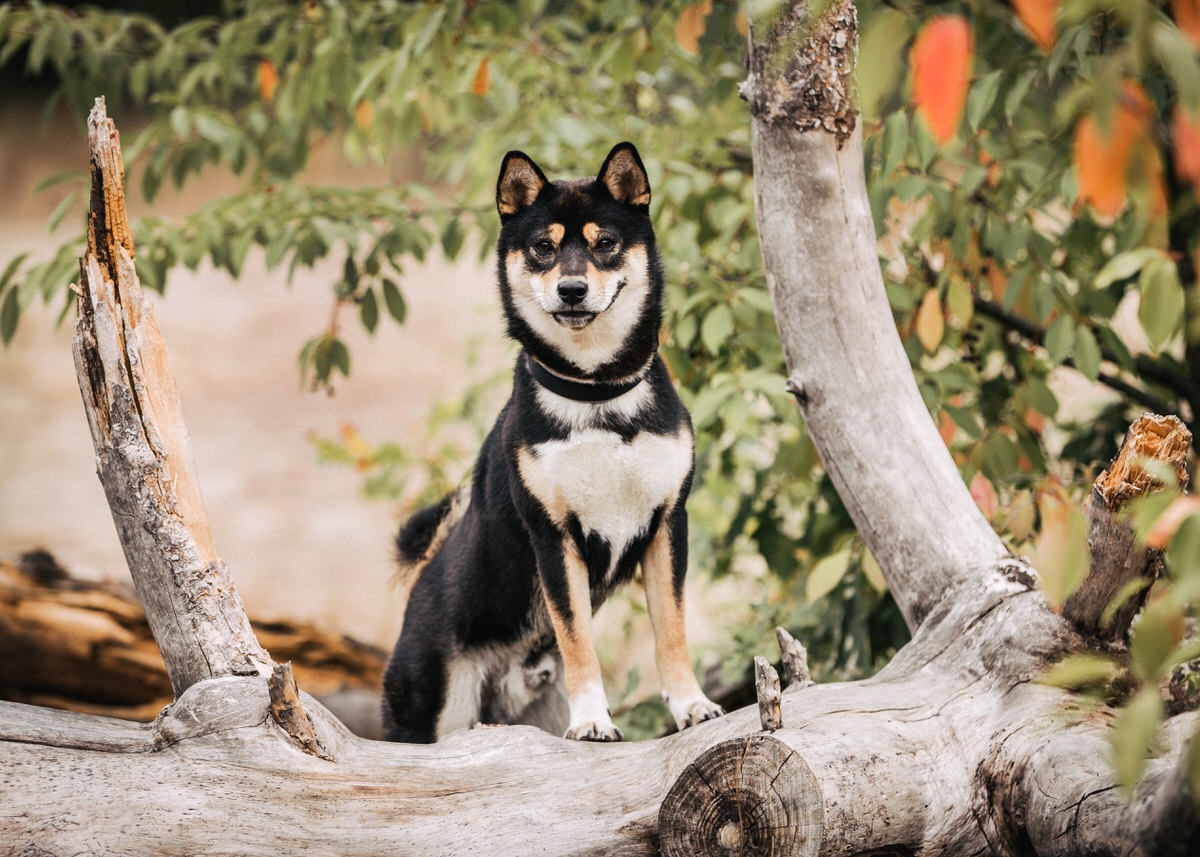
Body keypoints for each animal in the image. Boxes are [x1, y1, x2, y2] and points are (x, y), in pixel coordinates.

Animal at [384, 141, 720, 739]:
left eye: (605, 244)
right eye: (543, 247)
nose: (572, 289)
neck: (597, 396)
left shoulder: (666, 524)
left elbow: (672, 631)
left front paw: (690, 705)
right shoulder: (554, 537)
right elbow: (578, 639)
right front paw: (591, 721)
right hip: (434, 710)